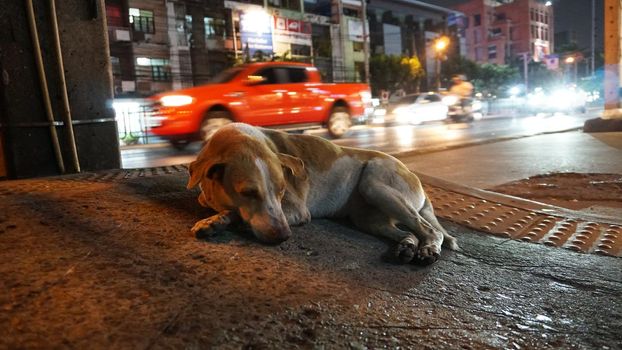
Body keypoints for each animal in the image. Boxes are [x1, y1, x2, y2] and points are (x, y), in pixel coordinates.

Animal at [186, 124, 458, 264]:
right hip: (368, 217)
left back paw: (429, 249)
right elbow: (218, 206)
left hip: (377, 185)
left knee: (429, 229)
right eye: (248, 192)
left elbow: (237, 215)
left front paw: (219, 221)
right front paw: (215, 219)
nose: (284, 236)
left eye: (282, 190)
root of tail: (414, 175)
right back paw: (407, 246)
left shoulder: (296, 210)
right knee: (409, 232)